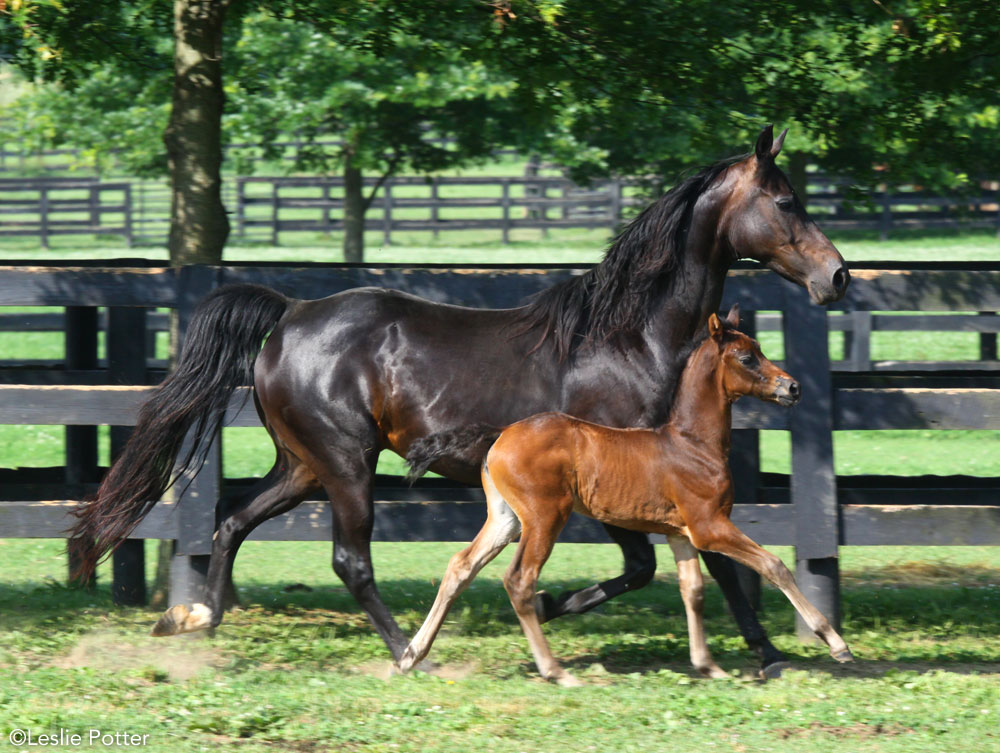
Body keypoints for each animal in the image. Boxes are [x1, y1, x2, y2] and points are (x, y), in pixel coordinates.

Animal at [402, 306, 856, 688]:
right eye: (747, 358)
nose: (793, 387)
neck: (691, 444)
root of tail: (500, 435)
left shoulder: (679, 532)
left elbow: (693, 590)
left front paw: (708, 666)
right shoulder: (709, 526)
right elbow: (773, 564)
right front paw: (835, 643)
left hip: (505, 519)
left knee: (461, 566)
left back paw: (411, 655)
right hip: (545, 517)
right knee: (519, 581)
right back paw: (555, 671)